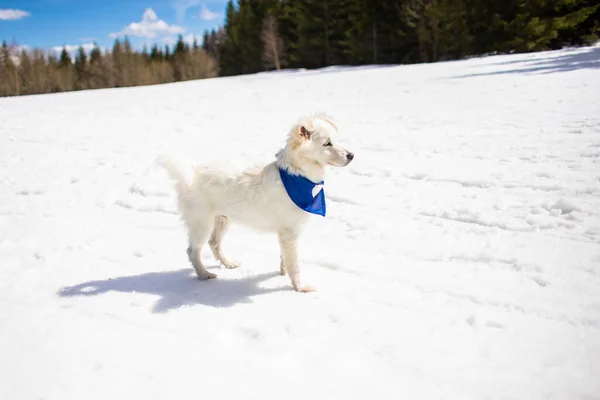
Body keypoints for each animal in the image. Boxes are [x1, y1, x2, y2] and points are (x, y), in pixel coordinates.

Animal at [159, 114, 354, 292]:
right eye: (327, 144)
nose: (352, 155)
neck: (298, 175)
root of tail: (189, 177)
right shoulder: (289, 232)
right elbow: (294, 264)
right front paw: (299, 288)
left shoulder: (285, 234)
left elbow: (284, 257)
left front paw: (282, 273)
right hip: (202, 224)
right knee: (192, 251)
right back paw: (204, 275)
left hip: (223, 219)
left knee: (214, 243)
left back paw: (228, 264)